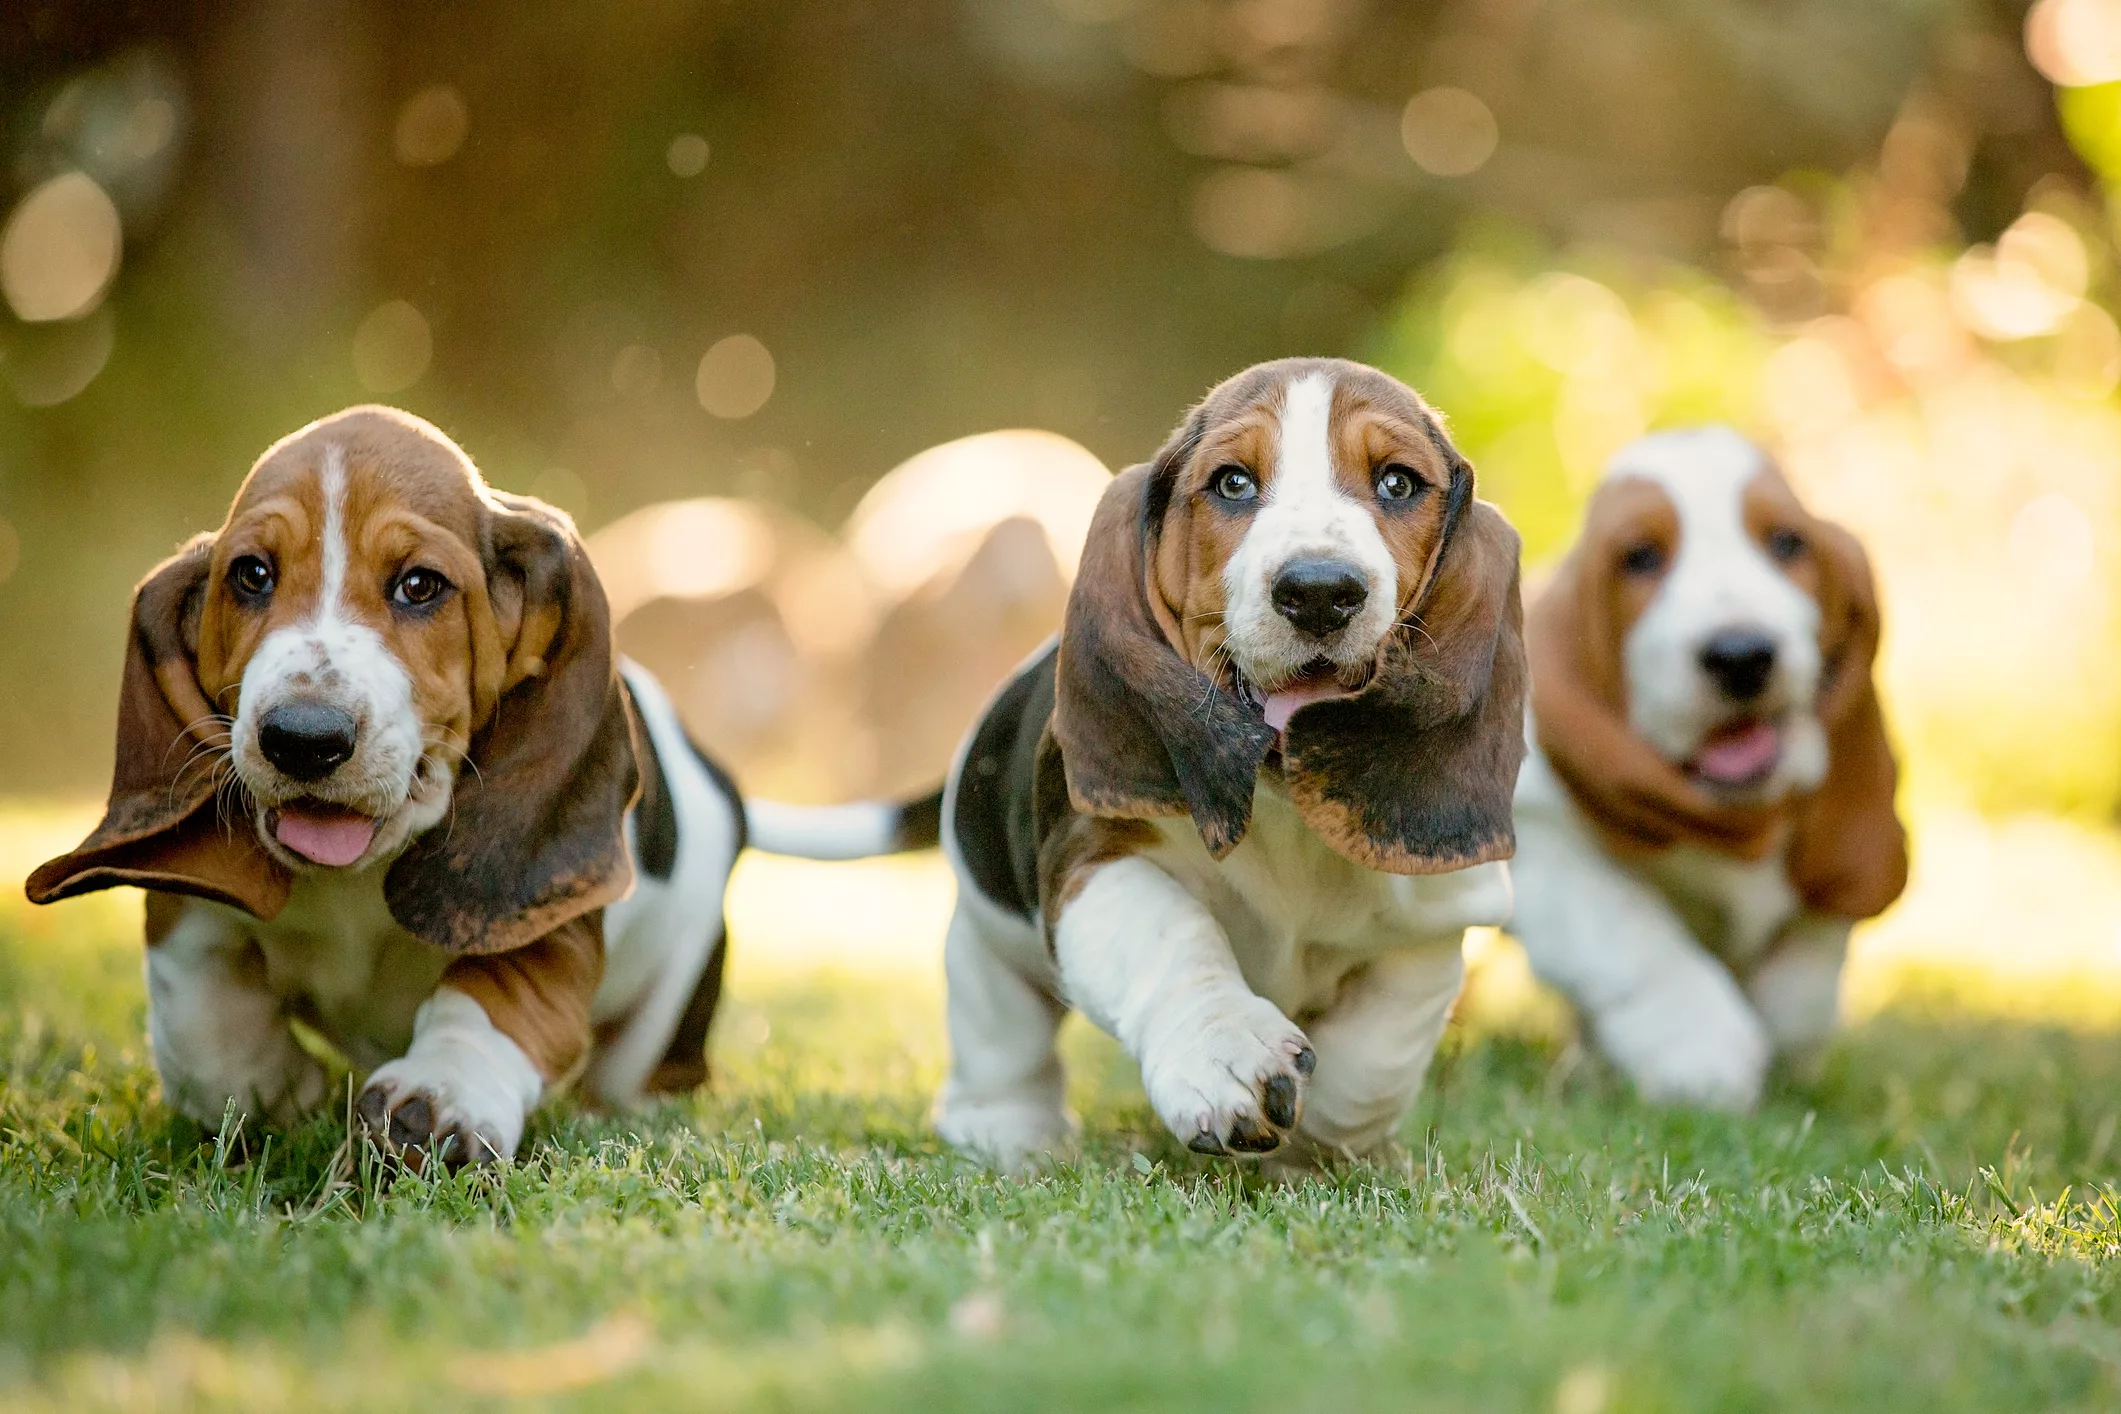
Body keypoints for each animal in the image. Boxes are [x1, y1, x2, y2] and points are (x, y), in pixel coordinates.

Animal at [20, 407, 924, 1170]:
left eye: (419, 586)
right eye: (249, 575)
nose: (303, 738)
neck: (357, 878)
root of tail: (721, 781)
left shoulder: (543, 916)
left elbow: (491, 1002)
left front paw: (439, 1097)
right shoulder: (188, 914)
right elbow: (200, 1014)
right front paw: (275, 1089)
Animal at [933, 356, 1527, 1170]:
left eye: (1398, 484)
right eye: (1233, 483)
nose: (1319, 591)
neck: (1285, 803)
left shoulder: (1434, 925)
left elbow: (1378, 1054)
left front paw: (1320, 1136)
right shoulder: (1097, 860)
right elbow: (1174, 938)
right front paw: (1226, 1055)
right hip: (985, 937)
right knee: (999, 1030)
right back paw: (1007, 1130)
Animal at [1510, 428, 1908, 1119]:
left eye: (1787, 543)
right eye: (1640, 557)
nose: (1742, 655)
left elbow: (1806, 976)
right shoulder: (1544, 852)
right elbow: (1635, 934)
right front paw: (1700, 1056)